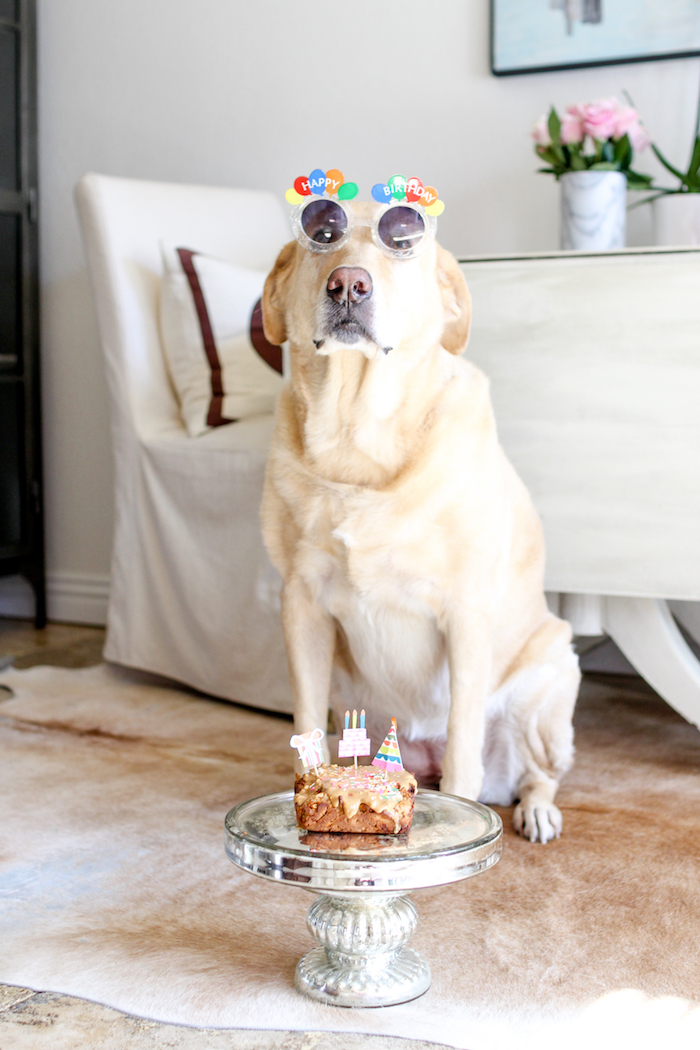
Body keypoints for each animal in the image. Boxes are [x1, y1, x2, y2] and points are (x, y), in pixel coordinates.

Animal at [260, 197, 579, 839]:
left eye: (402, 238)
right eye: (323, 232)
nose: (349, 284)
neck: (357, 444)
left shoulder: (465, 615)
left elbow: (462, 751)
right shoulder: (301, 605)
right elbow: (305, 724)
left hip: (550, 681)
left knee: (537, 774)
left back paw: (537, 811)